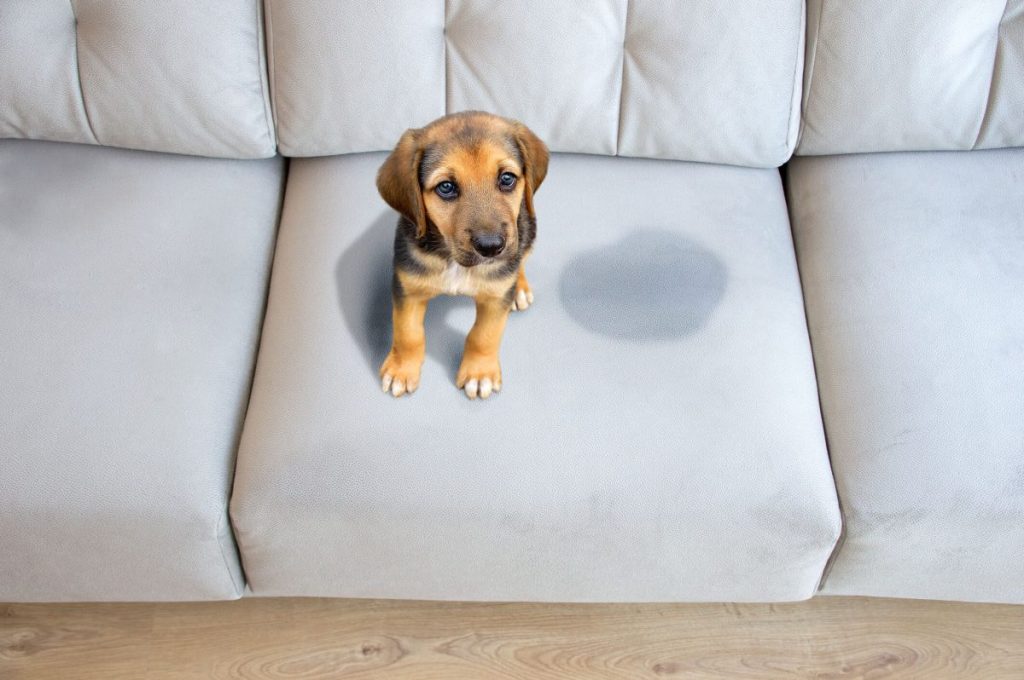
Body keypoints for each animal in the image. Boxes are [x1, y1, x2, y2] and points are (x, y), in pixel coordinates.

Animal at [378, 111, 552, 399]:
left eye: (507, 179)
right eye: (446, 187)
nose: (491, 247)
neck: (454, 261)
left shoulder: (495, 298)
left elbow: (484, 335)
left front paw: (479, 373)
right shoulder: (408, 288)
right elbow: (407, 333)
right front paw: (401, 369)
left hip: (528, 230)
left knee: (522, 259)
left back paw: (520, 288)